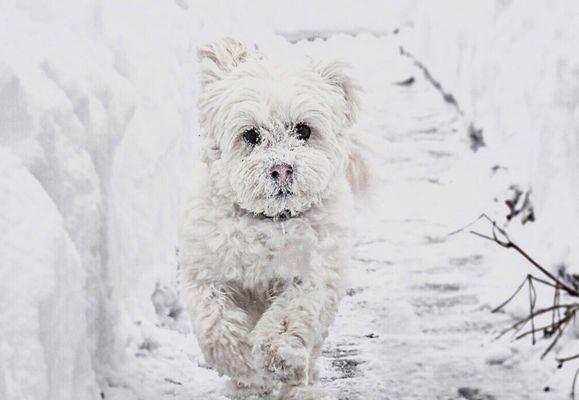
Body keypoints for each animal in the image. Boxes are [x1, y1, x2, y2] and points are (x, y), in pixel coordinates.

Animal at [181, 38, 370, 400]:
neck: (268, 223)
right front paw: (241, 363)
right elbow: (215, 323)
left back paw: (299, 384)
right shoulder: (209, 272)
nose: (281, 168)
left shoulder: (310, 275)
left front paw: (276, 356)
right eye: (251, 134)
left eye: (304, 130)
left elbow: (287, 318)